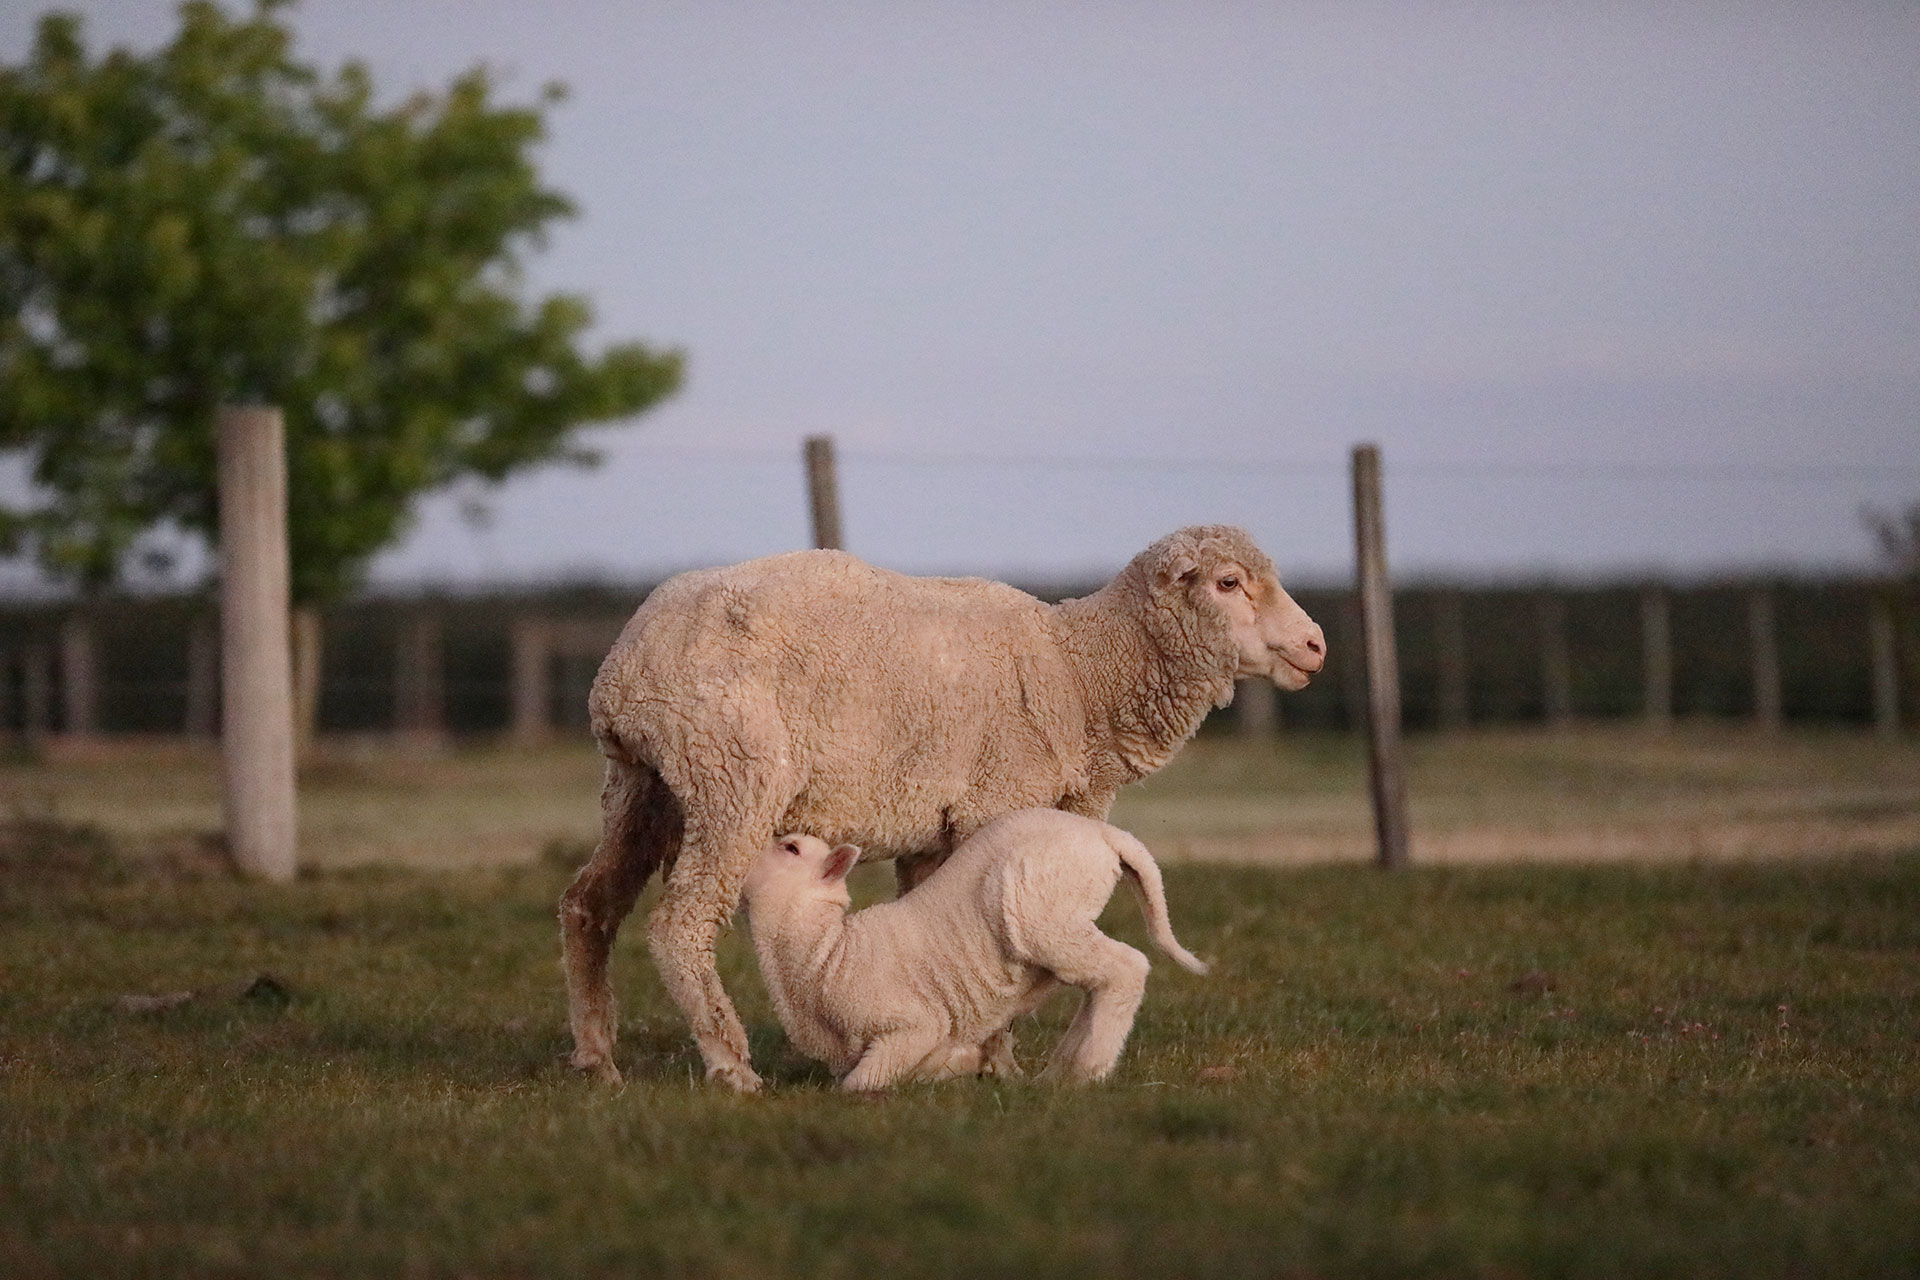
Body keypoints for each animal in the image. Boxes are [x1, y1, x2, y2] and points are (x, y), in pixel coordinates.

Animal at [733, 809, 1198, 1090]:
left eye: (790, 848)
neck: (828, 954)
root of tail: (1104, 833)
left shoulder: (914, 1024)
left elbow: (856, 1086)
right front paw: (982, 1068)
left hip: (1047, 916)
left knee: (1127, 968)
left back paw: (1089, 1068)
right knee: (1097, 984)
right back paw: (1058, 1072)